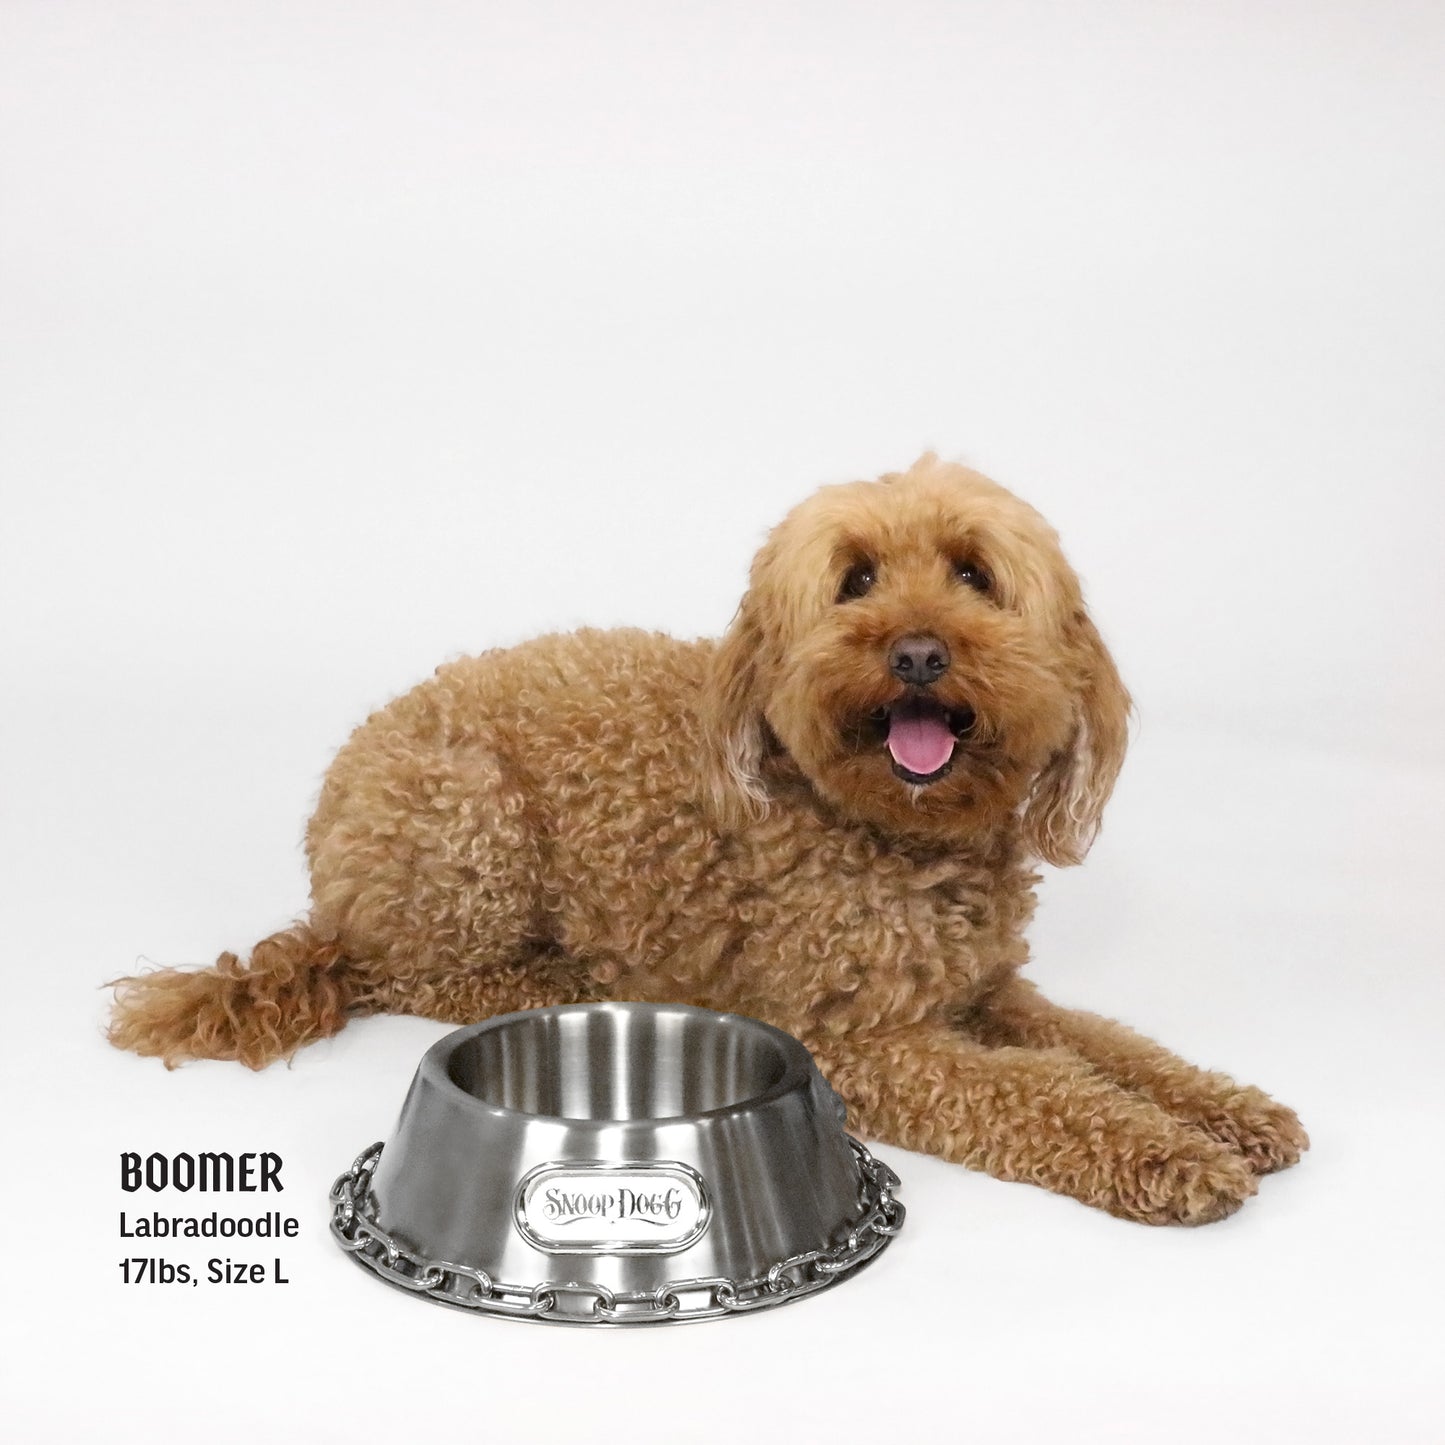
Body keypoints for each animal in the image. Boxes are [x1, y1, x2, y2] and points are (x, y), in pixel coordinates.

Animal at [109, 456, 1312, 1225]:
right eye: (855, 578)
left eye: (974, 573)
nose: (918, 652)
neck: (888, 831)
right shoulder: (864, 1040)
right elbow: (1041, 1091)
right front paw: (1166, 1149)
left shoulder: (989, 994)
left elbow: (1109, 1047)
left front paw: (1226, 1111)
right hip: (468, 828)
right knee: (408, 973)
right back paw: (551, 976)